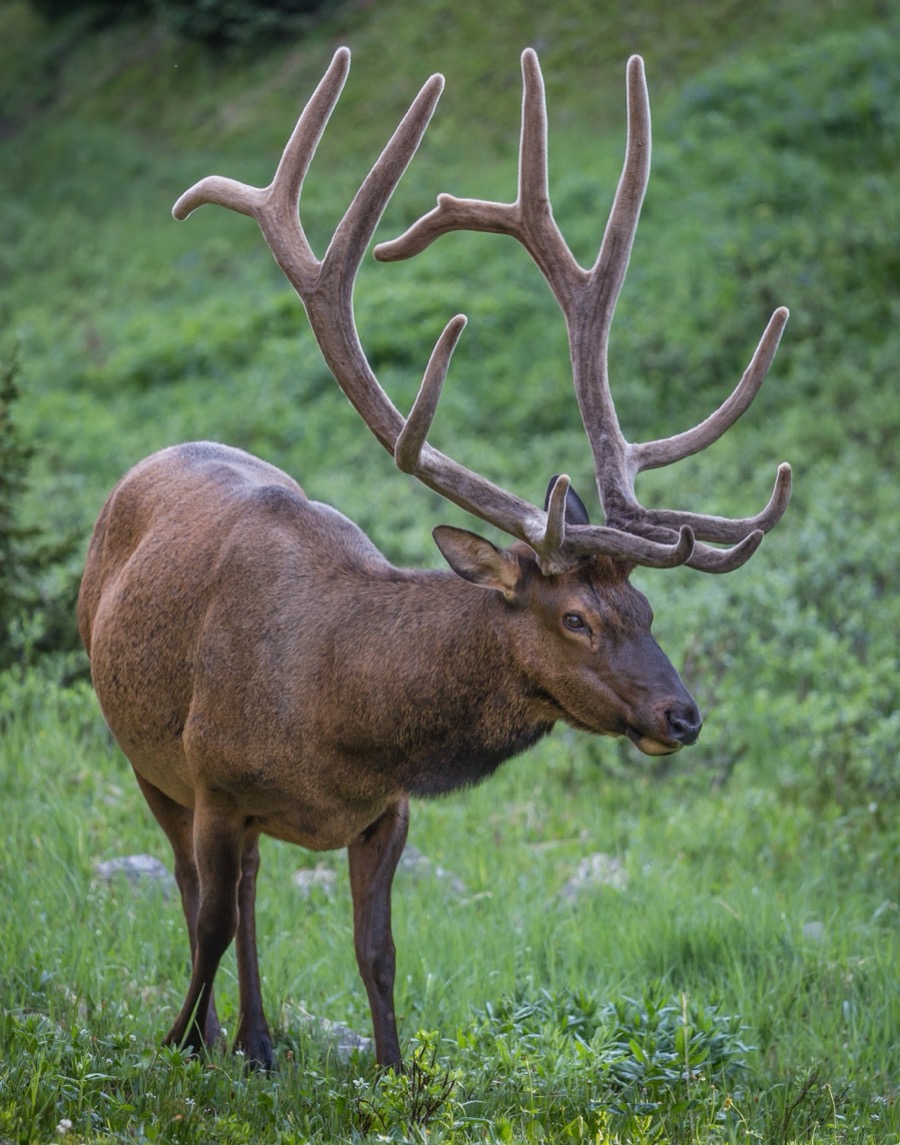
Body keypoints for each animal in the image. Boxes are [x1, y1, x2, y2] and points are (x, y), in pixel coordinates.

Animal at [77, 47, 791, 1073]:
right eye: (575, 618)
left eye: (649, 613)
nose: (682, 715)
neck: (338, 715)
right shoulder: (209, 782)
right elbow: (205, 923)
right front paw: (177, 1041)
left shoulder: (389, 809)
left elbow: (376, 948)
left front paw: (392, 1071)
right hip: (146, 755)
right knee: (202, 891)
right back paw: (222, 1035)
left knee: (248, 889)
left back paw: (259, 1039)